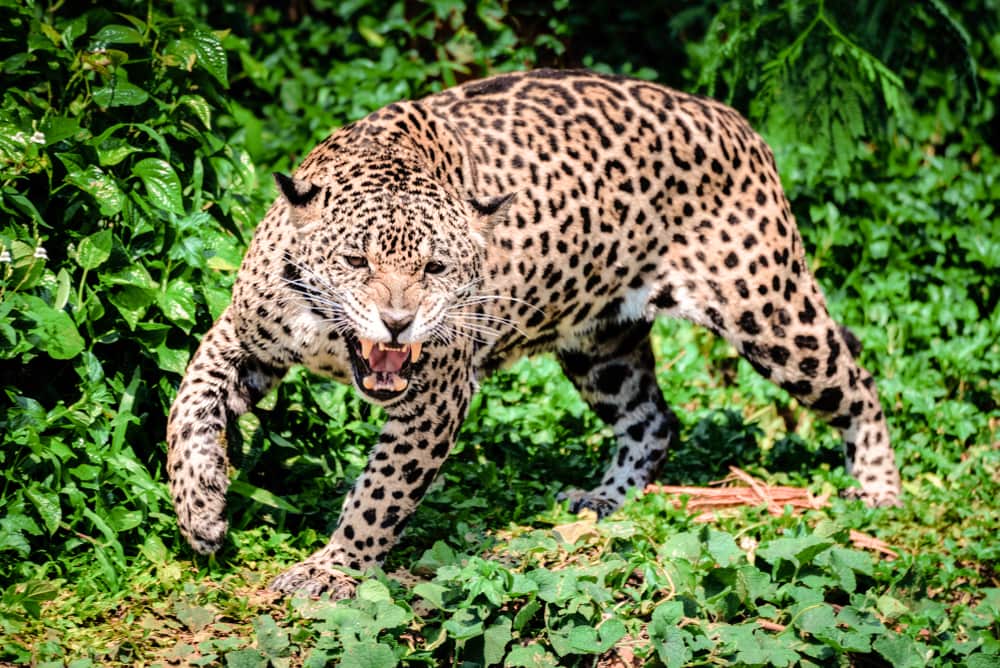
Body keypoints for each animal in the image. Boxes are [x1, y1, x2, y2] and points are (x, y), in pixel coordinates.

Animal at [166, 69, 901, 598]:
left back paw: (878, 492)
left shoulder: (435, 396)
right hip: (601, 346)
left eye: (435, 267)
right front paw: (201, 506)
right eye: (355, 261)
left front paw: (333, 568)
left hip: (767, 310)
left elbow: (381, 493)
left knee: (858, 381)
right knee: (652, 418)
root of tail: (732, 117)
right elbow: (188, 402)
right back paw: (603, 499)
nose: (399, 322)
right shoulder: (241, 334)